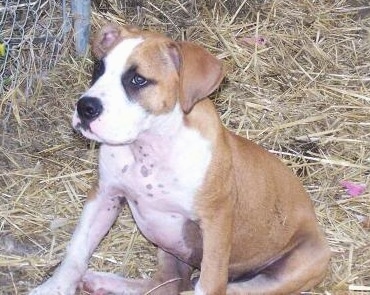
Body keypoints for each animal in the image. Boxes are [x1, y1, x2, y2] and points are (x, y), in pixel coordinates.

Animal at [28, 24, 330, 295]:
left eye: (138, 80)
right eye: (98, 69)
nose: (85, 107)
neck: (148, 147)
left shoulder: (216, 221)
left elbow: (210, 283)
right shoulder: (105, 194)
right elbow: (76, 250)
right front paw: (54, 287)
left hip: (297, 264)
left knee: (222, 289)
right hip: (169, 247)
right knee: (167, 283)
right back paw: (101, 282)